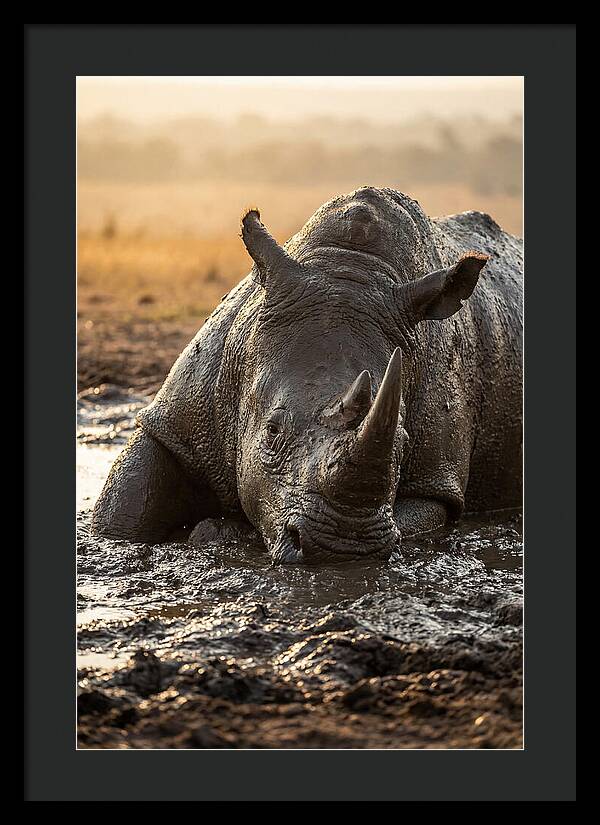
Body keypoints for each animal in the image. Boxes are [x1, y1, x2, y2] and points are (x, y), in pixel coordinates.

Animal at [91, 187, 523, 563]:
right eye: (272, 431)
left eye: (403, 441)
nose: (343, 547)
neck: (349, 267)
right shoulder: (176, 419)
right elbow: (124, 510)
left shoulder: (437, 481)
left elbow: (420, 514)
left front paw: (218, 532)